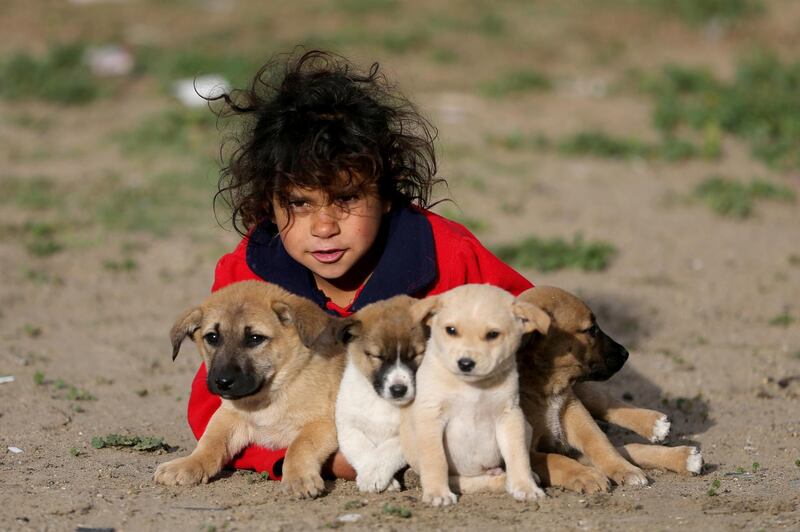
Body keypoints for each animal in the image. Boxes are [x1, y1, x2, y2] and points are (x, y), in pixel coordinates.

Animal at [155, 282, 346, 498]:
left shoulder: (323, 423)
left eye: (255, 338)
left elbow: (299, 445)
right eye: (212, 337)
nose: (222, 382)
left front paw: (298, 478)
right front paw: (188, 464)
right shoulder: (229, 416)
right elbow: (210, 441)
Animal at [334, 294, 428, 492]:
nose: (399, 390)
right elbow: (362, 448)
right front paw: (371, 476)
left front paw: (375, 475)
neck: (381, 402)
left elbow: (387, 451)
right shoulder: (348, 426)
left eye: (415, 355)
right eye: (378, 356)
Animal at [400, 284, 552, 504]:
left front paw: (525, 486)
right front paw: (437, 492)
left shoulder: (510, 415)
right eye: (451, 330)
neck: (472, 387)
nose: (465, 363)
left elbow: (518, 455)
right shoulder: (431, 416)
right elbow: (435, 459)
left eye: (493, 334)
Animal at [520, 286, 700, 494]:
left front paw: (623, 469)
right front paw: (586, 475)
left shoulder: (573, 409)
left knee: (605, 404)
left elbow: (600, 443)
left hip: (583, 392)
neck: (549, 388)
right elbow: (555, 460)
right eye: (591, 330)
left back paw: (657, 426)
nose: (625, 353)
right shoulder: (530, 452)